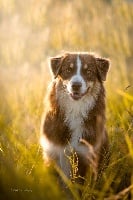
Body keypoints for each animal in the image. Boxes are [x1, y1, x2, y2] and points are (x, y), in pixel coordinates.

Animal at [40, 51, 109, 183]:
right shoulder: (53, 152)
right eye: (68, 70)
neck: (76, 109)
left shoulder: (86, 155)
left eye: (88, 71)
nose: (76, 85)